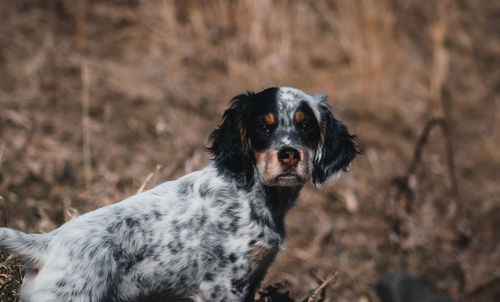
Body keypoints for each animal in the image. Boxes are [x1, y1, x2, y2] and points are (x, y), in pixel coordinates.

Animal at [0, 86, 360, 300]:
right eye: (263, 127)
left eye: (306, 126)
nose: (289, 154)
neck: (251, 191)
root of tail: (46, 244)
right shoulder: (223, 285)